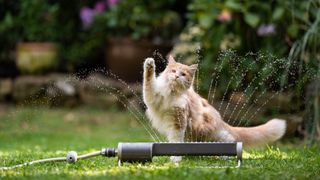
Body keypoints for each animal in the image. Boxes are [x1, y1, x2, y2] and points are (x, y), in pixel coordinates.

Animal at [143, 55, 288, 162]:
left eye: (183, 74)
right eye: (173, 71)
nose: (177, 76)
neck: (172, 93)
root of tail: (221, 121)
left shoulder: (179, 122)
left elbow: (176, 141)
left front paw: (176, 159)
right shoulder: (152, 98)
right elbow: (148, 82)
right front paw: (149, 64)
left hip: (210, 133)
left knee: (230, 139)